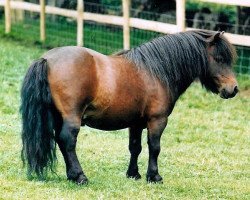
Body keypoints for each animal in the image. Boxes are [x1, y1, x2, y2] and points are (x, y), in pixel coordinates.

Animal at [20, 30, 237, 184]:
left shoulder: (136, 123)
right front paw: (154, 176)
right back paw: (79, 176)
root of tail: (46, 59)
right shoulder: (157, 120)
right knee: (68, 141)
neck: (156, 71)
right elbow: (155, 147)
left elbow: (135, 148)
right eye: (219, 59)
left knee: (60, 141)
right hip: (71, 117)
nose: (233, 89)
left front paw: (134, 174)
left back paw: (71, 175)